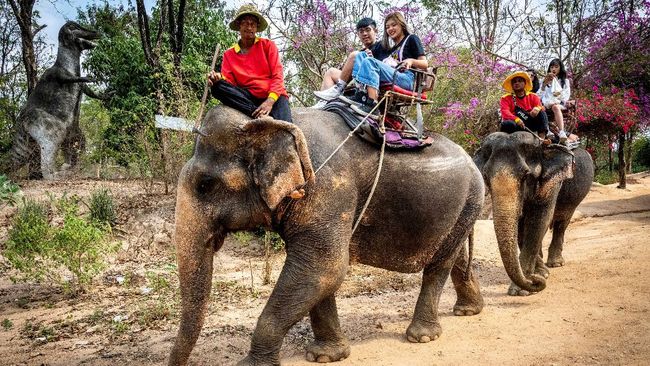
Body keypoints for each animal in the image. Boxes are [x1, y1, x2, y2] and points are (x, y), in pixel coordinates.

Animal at [170, 106, 484, 366]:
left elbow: (324, 266)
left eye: (205, 185)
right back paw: (469, 311)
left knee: (439, 265)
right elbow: (320, 274)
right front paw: (326, 356)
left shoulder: (327, 186)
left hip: (471, 197)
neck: (270, 122)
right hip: (463, 209)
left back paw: (422, 336)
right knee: (455, 256)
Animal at [470, 132, 592, 298]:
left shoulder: (551, 182)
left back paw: (555, 264)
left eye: (526, 175)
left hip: (574, 198)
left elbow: (538, 221)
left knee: (562, 222)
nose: (535, 281)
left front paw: (521, 289)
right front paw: (539, 275)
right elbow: (522, 229)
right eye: (486, 176)